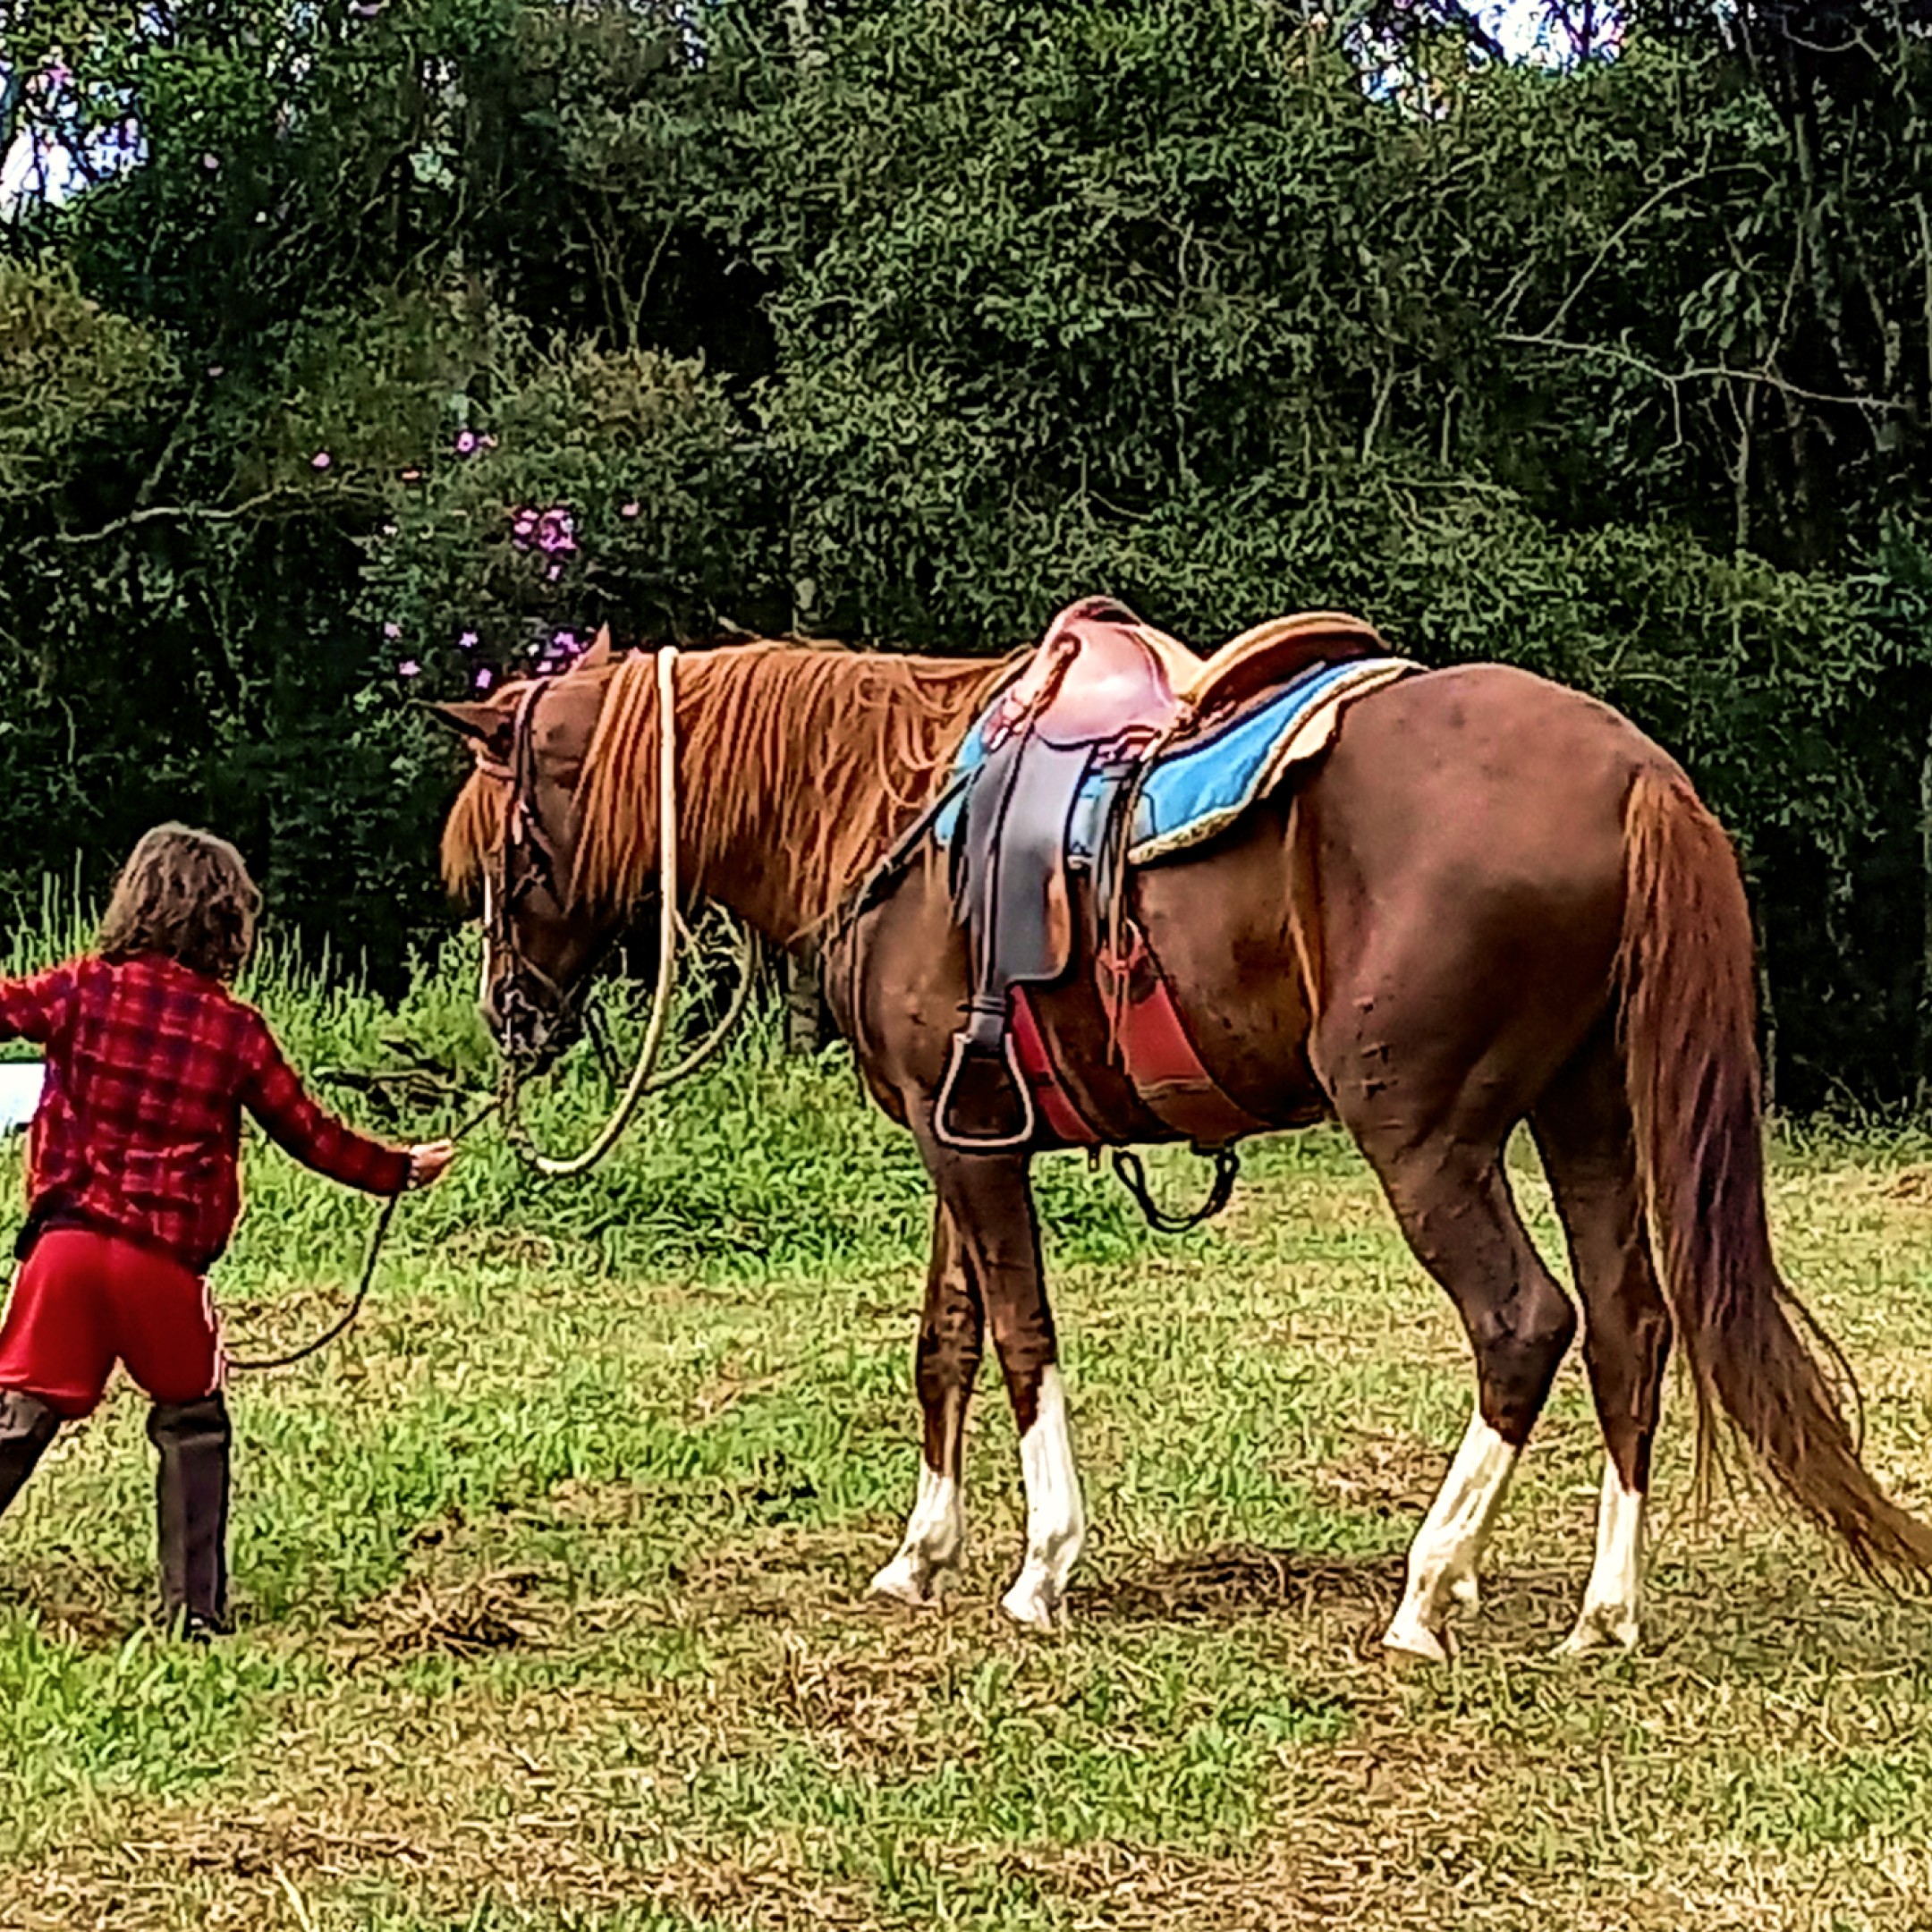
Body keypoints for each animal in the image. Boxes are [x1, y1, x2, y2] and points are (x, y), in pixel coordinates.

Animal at [438, 633, 1932, 1661]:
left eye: (504, 850)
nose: (509, 1011)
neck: (889, 817)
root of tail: (1632, 770)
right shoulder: (956, 1134)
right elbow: (945, 1341)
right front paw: (919, 1556)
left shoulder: (972, 1150)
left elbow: (1021, 1338)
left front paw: (1042, 1568)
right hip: (1586, 1115)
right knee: (1631, 1323)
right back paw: (1602, 1613)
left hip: (1424, 1129)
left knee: (1526, 1322)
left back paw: (1425, 1590)